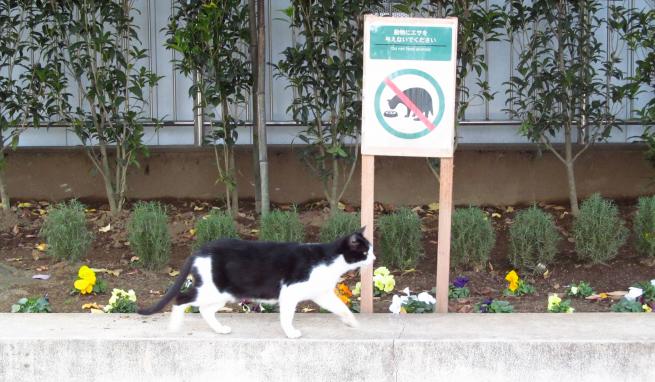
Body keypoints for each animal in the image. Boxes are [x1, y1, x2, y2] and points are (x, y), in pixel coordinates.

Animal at [138, 228, 374, 338]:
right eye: (364, 252)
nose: (374, 258)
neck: (330, 260)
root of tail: (200, 250)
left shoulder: (321, 294)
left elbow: (341, 307)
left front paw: (352, 322)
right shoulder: (289, 291)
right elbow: (287, 316)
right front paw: (290, 332)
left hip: (224, 293)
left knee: (205, 310)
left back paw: (220, 329)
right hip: (211, 289)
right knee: (182, 298)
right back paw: (174, 326)